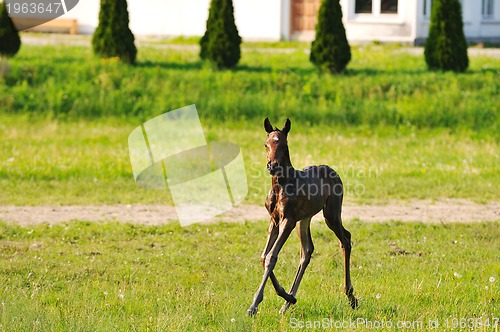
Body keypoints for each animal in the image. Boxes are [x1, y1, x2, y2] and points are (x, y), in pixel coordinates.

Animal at [247, 118, 358, 316]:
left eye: (284, 144)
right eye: (266, 144)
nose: (272, 166)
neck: (280, 185)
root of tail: (333, 171)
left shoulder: (288, 220)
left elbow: (271, 256)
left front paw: (254, 305)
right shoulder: (274, 220)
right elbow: (263, 256)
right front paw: (285, 295)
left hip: (331, 213)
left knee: (345, 239)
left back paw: (350, 296)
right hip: (304, 219)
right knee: (307, 250)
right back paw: (288, 302)